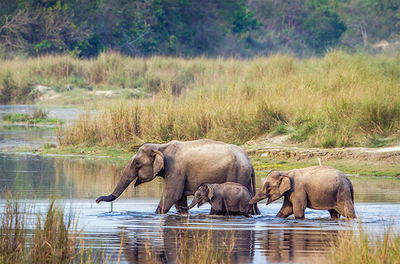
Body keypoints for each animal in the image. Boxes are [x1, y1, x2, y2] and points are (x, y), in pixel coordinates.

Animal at [96, 139, 260, 213]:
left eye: (137, 163)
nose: (97, 200)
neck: (160, 147)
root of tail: (250, 162)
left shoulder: (176, 170)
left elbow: (171, 195)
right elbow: (179, 198)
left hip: (237, 174)